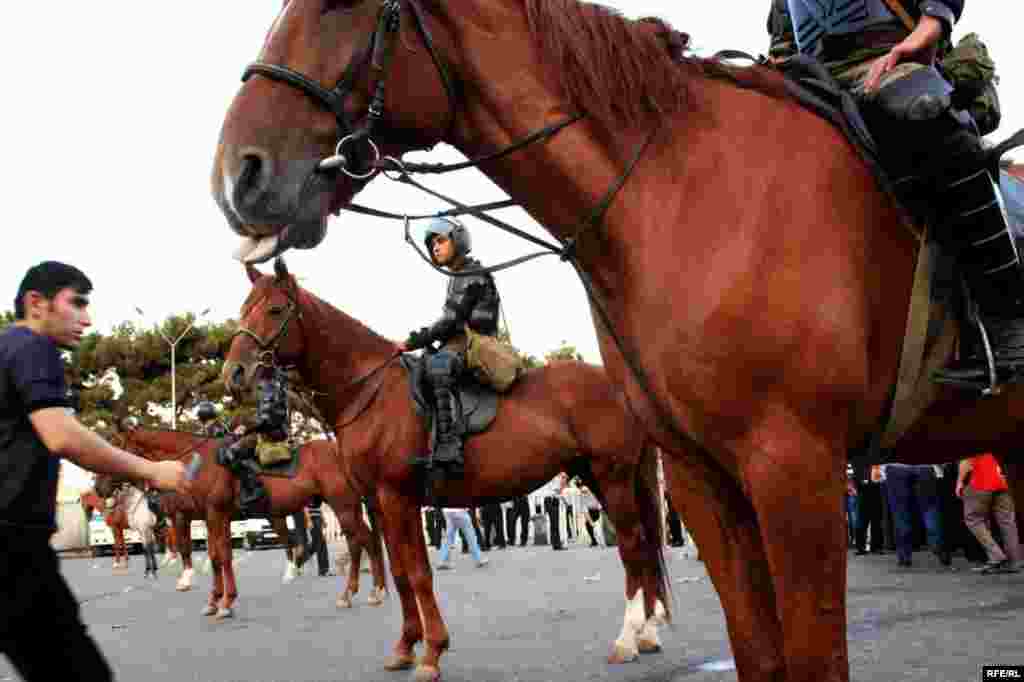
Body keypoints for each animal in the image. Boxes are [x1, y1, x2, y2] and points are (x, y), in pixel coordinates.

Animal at [115, 419, 387, 614]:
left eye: (121, 447)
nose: (106, 485)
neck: (198, 463)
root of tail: (339, 449)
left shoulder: (213, 514)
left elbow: (219, 556)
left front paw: (224, 602)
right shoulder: (215, 518)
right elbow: (219, 555)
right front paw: (218, 600)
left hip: (344, 506)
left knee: (366, 541)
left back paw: (374, 591)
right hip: (347, 508)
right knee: (358, 543)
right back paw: (355, 592)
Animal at [223, 258, 671, 675]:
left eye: (276, 310)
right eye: (244, 308)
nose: (234, 373)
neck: (370, 394)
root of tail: (619, 383)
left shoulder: (398, 497)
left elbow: (419, 574)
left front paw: (433, 652)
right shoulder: (379, 503)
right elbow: (401, 573)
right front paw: (406, 647)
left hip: (612, 475)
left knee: (633, 545)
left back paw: (628, 638)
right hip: (600, 476)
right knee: (642, 547)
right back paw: (648, 632)